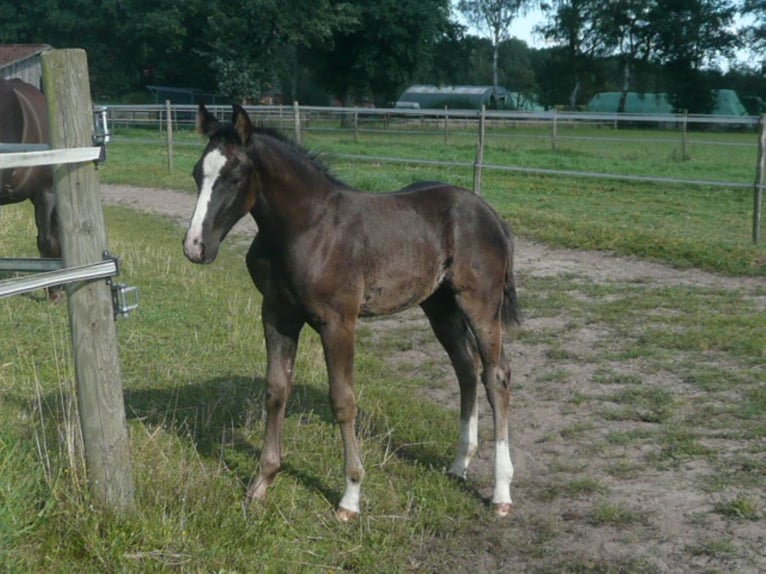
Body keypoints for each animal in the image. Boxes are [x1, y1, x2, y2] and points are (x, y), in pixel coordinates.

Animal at [184, 103, 524, 520]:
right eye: (197, 174)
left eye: (235, 176)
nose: (196, 247)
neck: (306, 227)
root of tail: (492, 215)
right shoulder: (277, 315)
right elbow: (276, 390)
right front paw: (262, 482)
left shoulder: (338, 322)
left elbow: (343, 401)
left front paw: (350, 495)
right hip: (440, 306)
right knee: (466, 368)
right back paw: (459, 463)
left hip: (480, 304)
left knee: (496, 376)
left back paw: (501, 491)